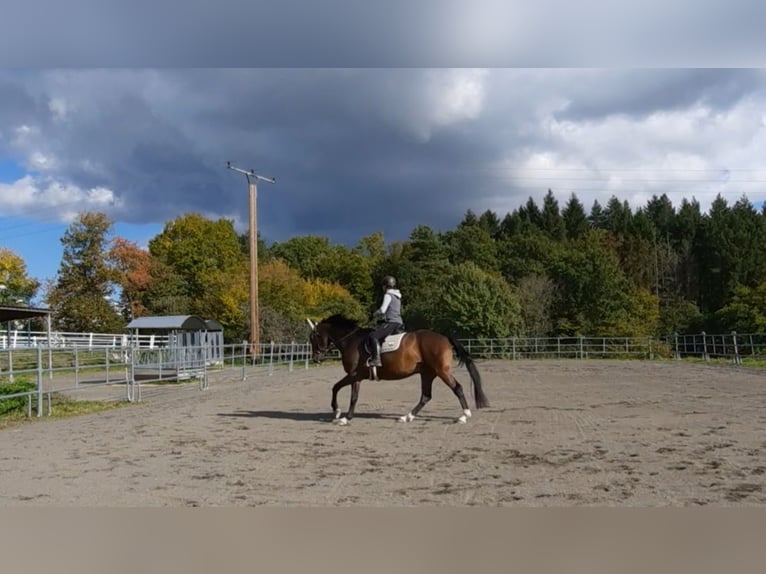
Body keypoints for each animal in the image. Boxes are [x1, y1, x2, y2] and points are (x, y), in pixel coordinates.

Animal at [306, 314, 489, 425]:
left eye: (314, 336)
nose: (315, 358)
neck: (351, 340)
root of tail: (444, 337)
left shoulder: (353, 374)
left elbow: (336, 388)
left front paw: (338, 412)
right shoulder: (356, 377)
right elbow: (353, 396)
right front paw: (346, 417)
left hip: (441, 371)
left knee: (457, 388)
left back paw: (464, 416)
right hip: (427, 373)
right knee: (426, 396)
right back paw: (407, 416)